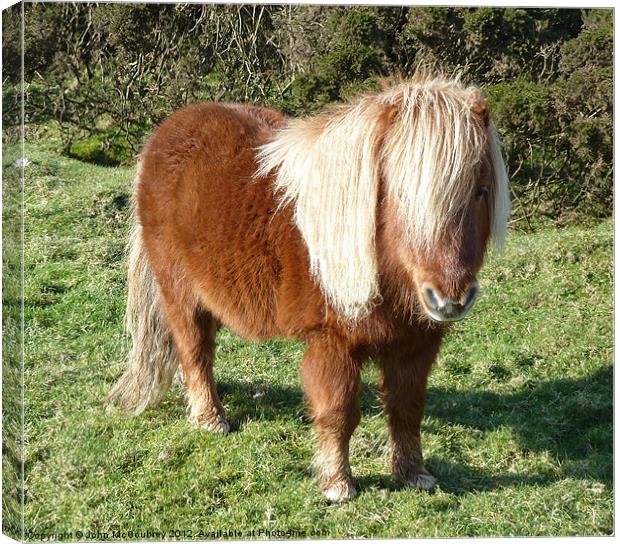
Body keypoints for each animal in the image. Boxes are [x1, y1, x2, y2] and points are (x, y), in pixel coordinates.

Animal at [106, 75, 512, 502]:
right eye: (400, 194)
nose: (450, 299)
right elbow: (339, 412)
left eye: (481, 190)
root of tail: (167, 131)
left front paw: (413, 473)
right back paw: (210, 418)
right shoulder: (331, 342)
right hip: (179, 292)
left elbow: (408, 408)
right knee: (194, 349)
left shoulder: (416, 343)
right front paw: (338, 484)